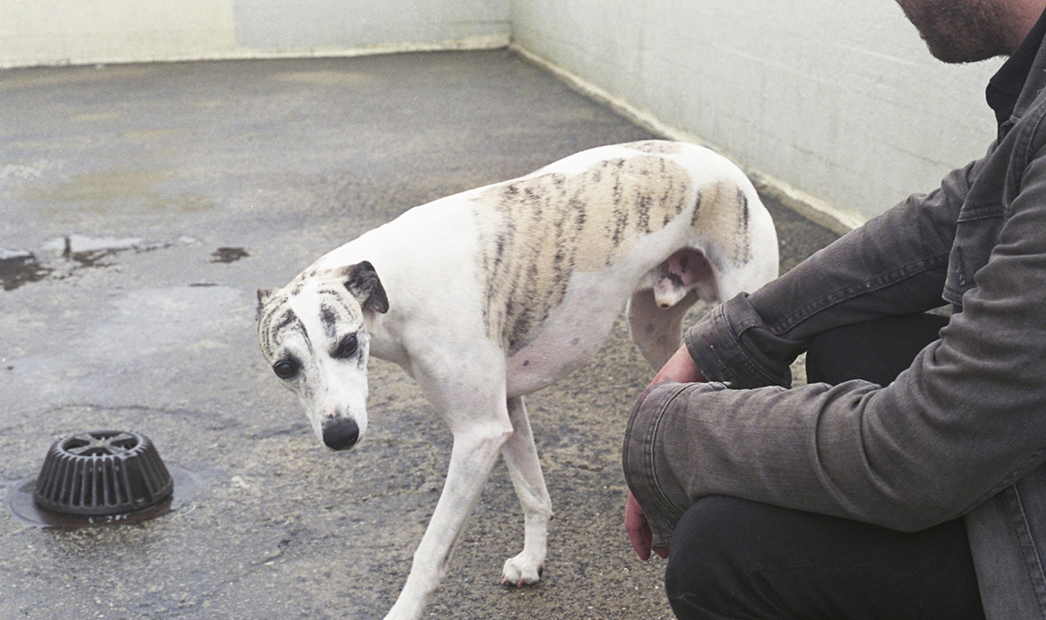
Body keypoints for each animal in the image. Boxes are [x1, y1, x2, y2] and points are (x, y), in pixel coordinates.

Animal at [256, 140, 778, 619]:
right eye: (285, 368)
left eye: (347, 343)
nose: (340, 435)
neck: (397, 283)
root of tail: (721, 160)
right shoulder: (505, 411)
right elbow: (533, 494)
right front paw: (532, 562)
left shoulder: (477, 433)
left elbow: (430, 552)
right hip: (655, 335)